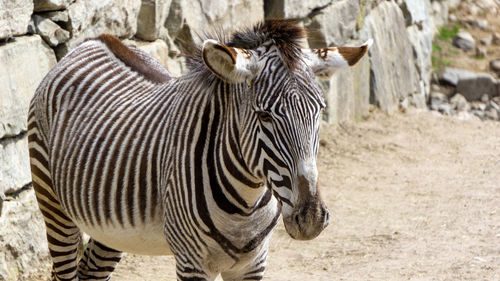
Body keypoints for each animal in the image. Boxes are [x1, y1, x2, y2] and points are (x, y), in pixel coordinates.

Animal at [27, 20, 372, 280]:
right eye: (264, 116)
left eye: (320, 110)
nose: (311, 217)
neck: (244, 206)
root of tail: (93, 40)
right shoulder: (192, 263)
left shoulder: (253, 264)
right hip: (54, 206)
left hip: (110, 226)